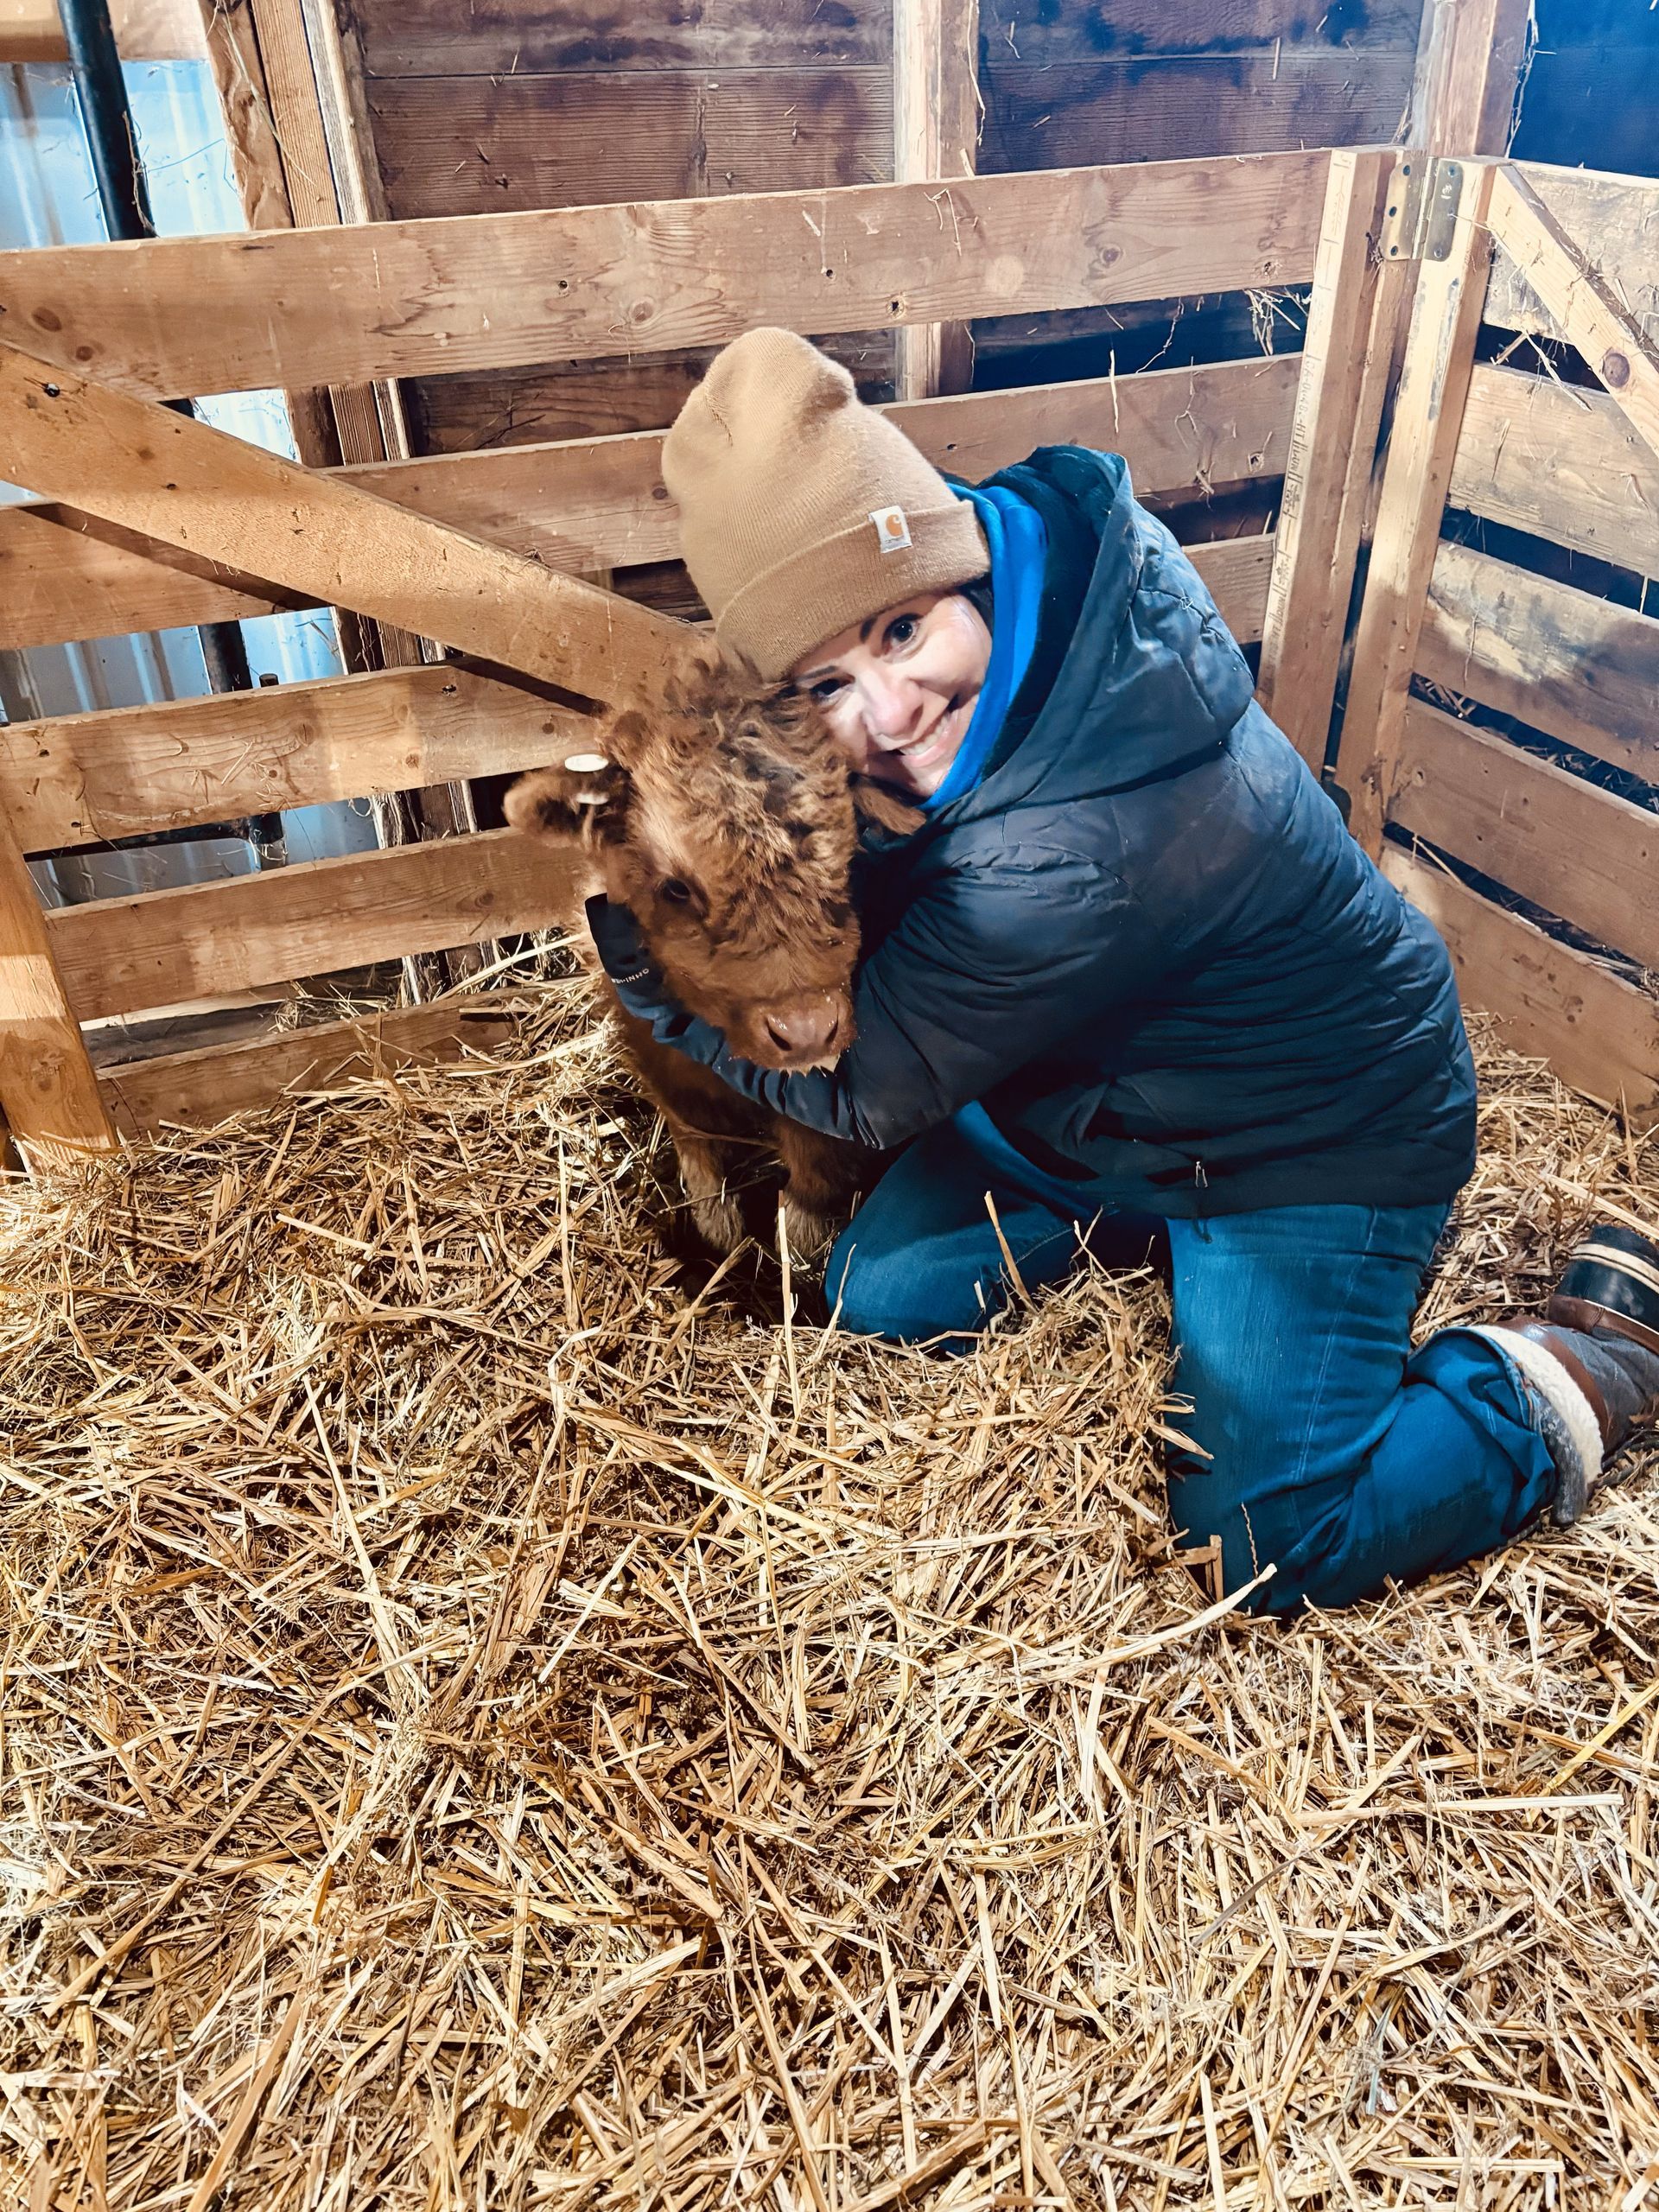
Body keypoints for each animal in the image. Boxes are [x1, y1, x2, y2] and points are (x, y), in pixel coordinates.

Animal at [505, 663, 910, 1262]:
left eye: (848, 855)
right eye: (676, 887)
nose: (807, 1030)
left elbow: (815, 1156)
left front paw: (799, 1237)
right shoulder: (658, 1056)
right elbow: (693, 1135)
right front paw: (713, 1220)